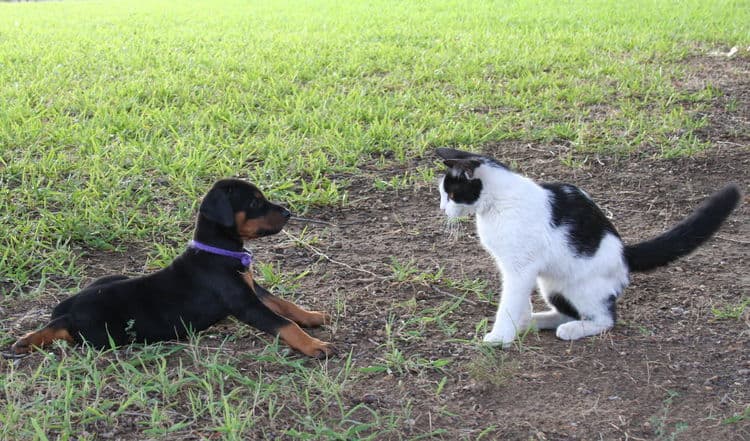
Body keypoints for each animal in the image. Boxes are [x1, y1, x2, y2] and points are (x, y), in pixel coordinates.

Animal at [11, 179, 334, 358]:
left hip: (108, 280)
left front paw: (312, 316)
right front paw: (314, 345)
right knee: (64, 332)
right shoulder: (244, 303)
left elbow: (285, 305)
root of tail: (69, 309)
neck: (218, 250)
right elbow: (282, 323)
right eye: (255, 202)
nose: (288, 213)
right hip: (108, 335)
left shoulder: (252, 288)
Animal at [438, 146, 744, 346]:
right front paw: (518, 322)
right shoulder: (515, 269)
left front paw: (500, 336)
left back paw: (574, 330)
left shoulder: (519, 269)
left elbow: (509, 302)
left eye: (451, 194)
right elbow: (519, 300)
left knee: (606, 319)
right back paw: (534, 322)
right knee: (564, 312)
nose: (442, 209)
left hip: (580, 287)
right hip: (552, 284)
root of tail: (624, 253)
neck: (497, 203)